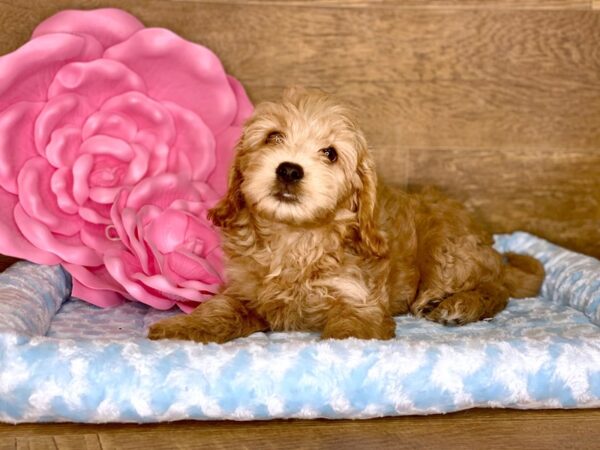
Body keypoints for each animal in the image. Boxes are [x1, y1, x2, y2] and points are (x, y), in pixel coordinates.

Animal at [149, 88, 544, 342]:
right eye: (272, 137)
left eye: (330, 153)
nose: (289, 170)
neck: (296, 238)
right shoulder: (246, 291)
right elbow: (219, 310)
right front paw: (180, 330)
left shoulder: (358, 301)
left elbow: (349, 333)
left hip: (446, 248)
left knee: (497, 290)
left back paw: (458, 303)